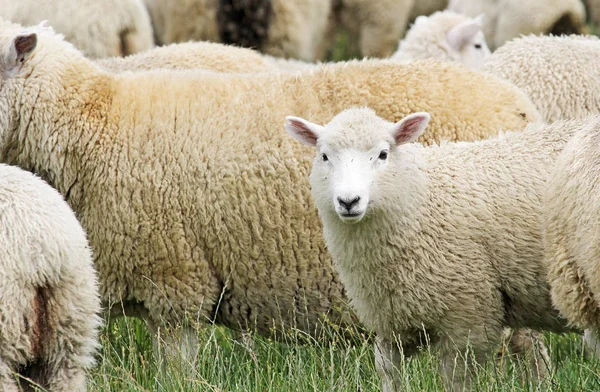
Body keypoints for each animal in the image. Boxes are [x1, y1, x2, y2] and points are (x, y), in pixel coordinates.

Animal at [286, 106, 584, 388]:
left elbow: (456, 379)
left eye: (383, 154)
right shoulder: (391, 320)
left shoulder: (469, 317)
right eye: (324, 156)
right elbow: (386, 370)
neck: (422, 199)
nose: (349, 201)